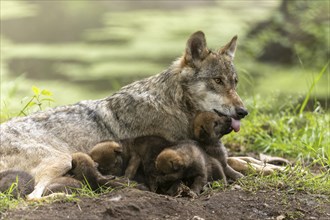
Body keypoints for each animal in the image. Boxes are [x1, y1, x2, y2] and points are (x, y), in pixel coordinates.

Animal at [0, 31, 248, 199]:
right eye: (218, 81)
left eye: (235, 82)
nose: (243, 111)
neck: (173, 104)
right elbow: (235, 162)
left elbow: (242, 159)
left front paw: (257, 164)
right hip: (60, 159)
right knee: (32, 198)